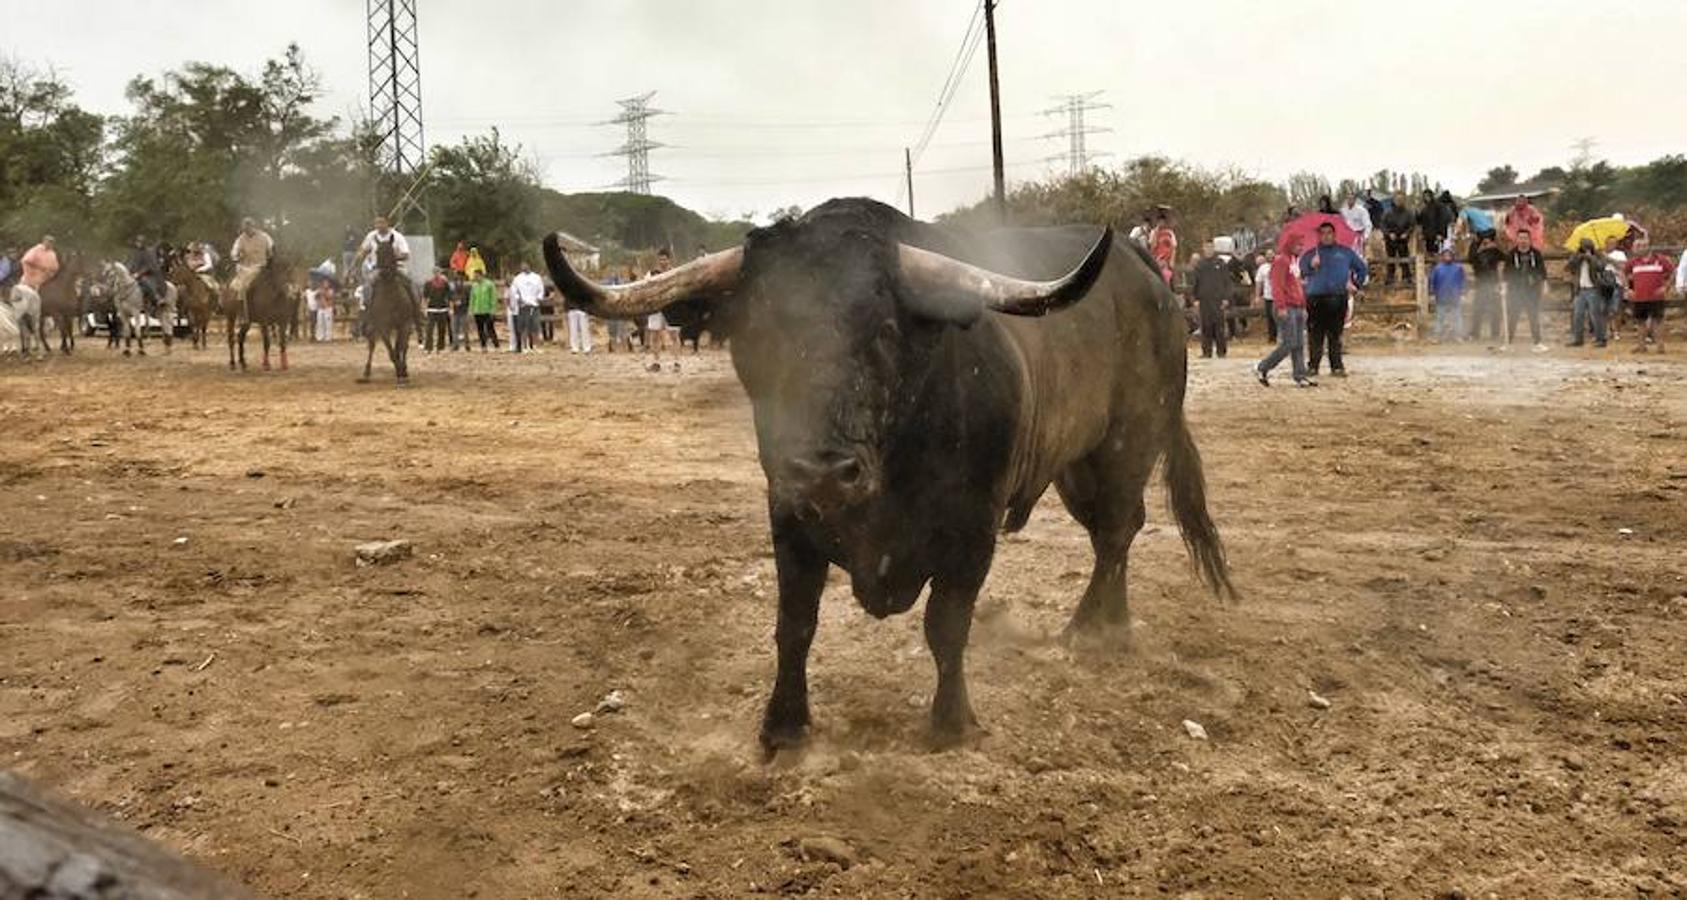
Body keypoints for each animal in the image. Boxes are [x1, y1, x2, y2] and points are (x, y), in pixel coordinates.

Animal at [354, 236, 420, 384]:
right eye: (377, 252)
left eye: (391, 251)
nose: (384, 272)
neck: (391, 295)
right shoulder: (383, 327)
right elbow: (391, 351)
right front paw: (399, 373)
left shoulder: (404, 325)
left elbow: (400, 348)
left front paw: (402, 372)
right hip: (373, 327)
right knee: (372, 345)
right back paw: (366, 373)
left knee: (404, 347)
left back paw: (404, 369)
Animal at [546, 198, 1234, 749]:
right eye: (755, 333)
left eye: (881, 330)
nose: (822, 474)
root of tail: (1150, 281)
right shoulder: (788, 519)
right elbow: (795, 626)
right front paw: (783, 725)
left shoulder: (971, 534)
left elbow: (946, 627)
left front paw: (952, 722)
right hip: (1076, 465)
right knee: (1113, 533)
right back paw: (1112, 624)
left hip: (1127, 444)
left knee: (1117, 529)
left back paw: (1088, 629)